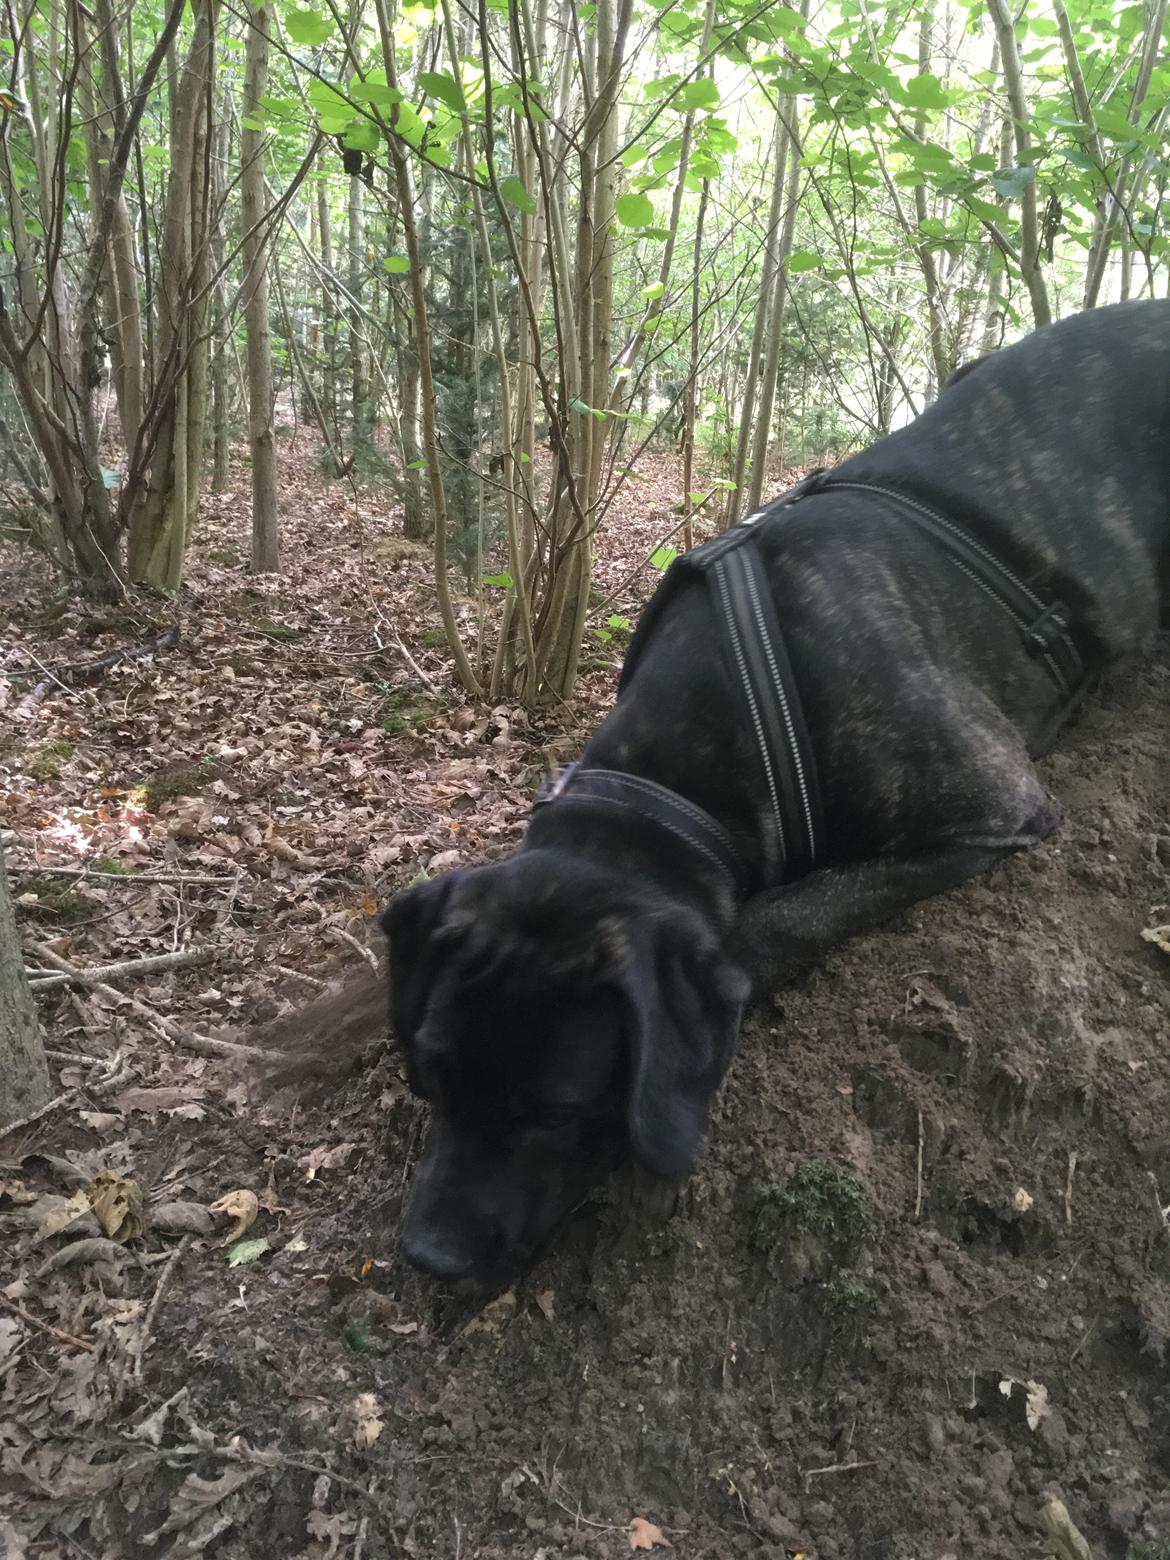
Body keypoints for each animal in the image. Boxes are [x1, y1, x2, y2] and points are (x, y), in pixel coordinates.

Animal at [382, 297, 1170, 1285]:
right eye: (430, 1072)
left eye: (556, 1113)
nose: (428, 1256)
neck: (680, 771)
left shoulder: (992, 803)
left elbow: (775, 922)